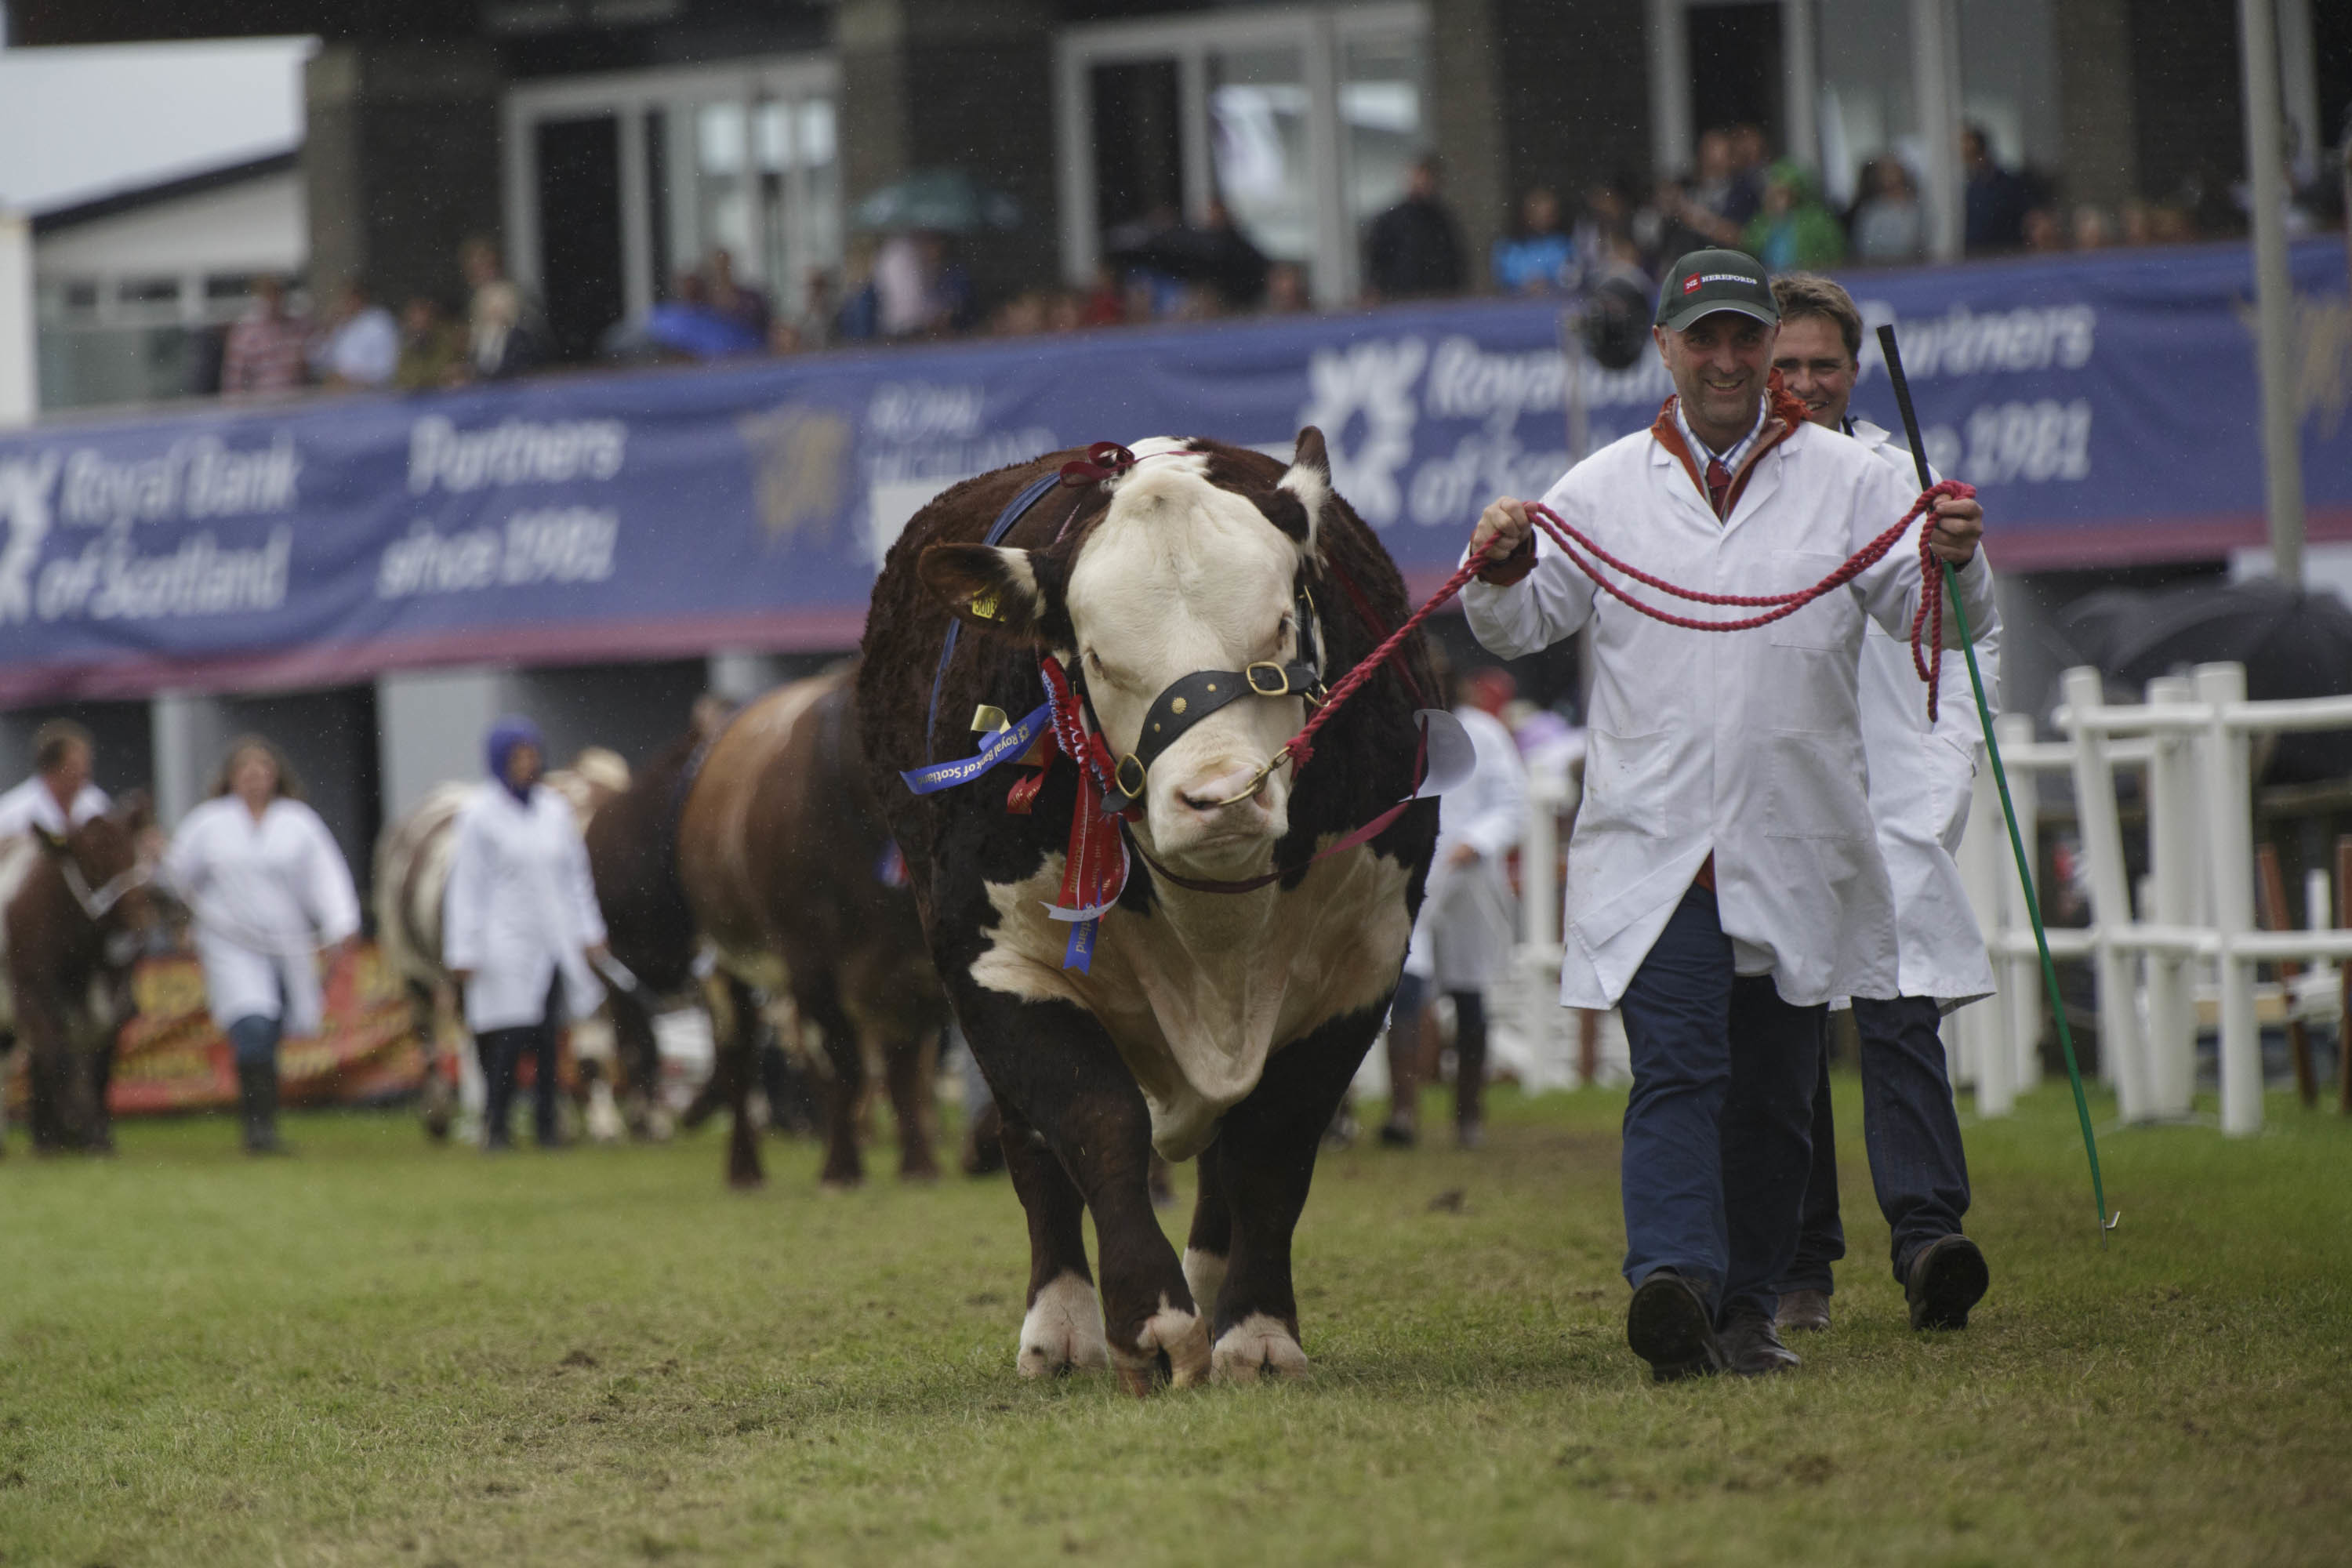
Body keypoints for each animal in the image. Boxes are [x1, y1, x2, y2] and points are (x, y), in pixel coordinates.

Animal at [588, 662, 946, 1189]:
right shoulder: (810, 963)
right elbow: (840, 1062)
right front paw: (841, 1169)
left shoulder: (913, 963)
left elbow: (905, 1065)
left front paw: (918, 1165)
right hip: (723, 962)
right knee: (736, 1060)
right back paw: (744, 1169)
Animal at [856, 432, 1430, 1401]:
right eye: (1096, 657)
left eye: (1283, 625)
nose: (1219, 796)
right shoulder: (994, 960)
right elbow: (1095, 1120)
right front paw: (1151, 1322)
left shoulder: (1364, 963)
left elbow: (1273, 1146)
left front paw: (1257, 1331)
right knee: (1031, 1145)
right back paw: (1061, 1327)